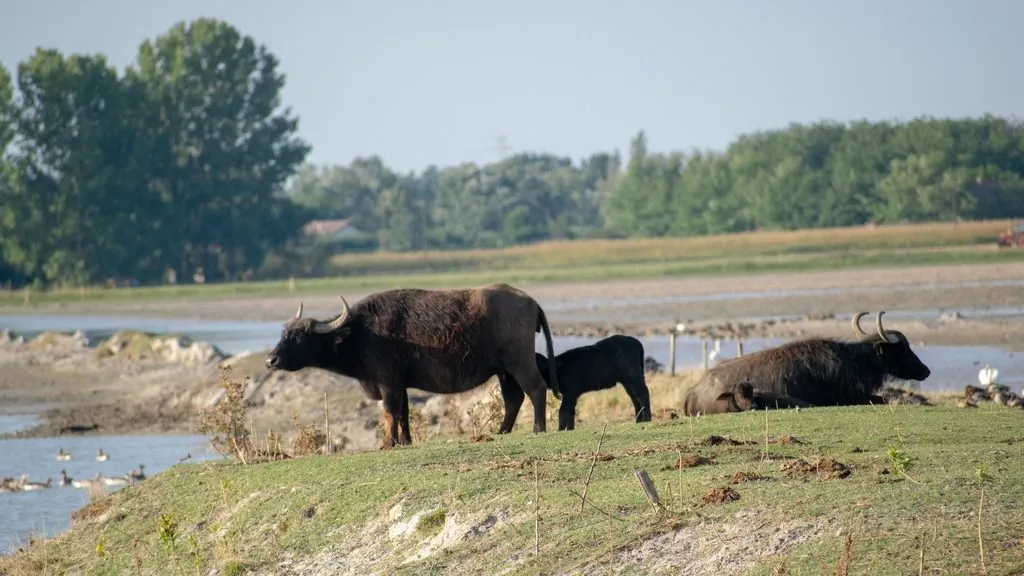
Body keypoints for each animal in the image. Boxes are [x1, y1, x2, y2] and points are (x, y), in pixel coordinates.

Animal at [264, 283, 559, 448]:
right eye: (283, 333)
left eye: (300, 336)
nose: (270, 360)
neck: (361, 332)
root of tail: (531, 301)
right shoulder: (400, 385)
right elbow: (403, 414)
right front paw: (404, 441)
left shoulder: (388, 384)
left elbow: (389, 414)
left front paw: (387, 443)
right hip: (504, 371)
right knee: (513, 399)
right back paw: (501, 431)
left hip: (519, 363)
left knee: (536, 389)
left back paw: (538, 428)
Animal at [497, 334, 652, 431]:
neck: (555, 368)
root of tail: (637, 343)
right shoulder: (571, 394)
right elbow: (570, 410)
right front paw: (568, 428)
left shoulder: (570, 392)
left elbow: (564, 410)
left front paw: (562, 428)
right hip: (626, 380)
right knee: (634, 397)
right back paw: (639, 420)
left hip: (633, 375)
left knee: (643, 393)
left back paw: (647, 419)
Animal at [682, 311, 930, 415]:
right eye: (904, 348)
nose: (926, 371)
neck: (852, 362)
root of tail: (692, 392)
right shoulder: (848, 398)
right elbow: (883, 398)